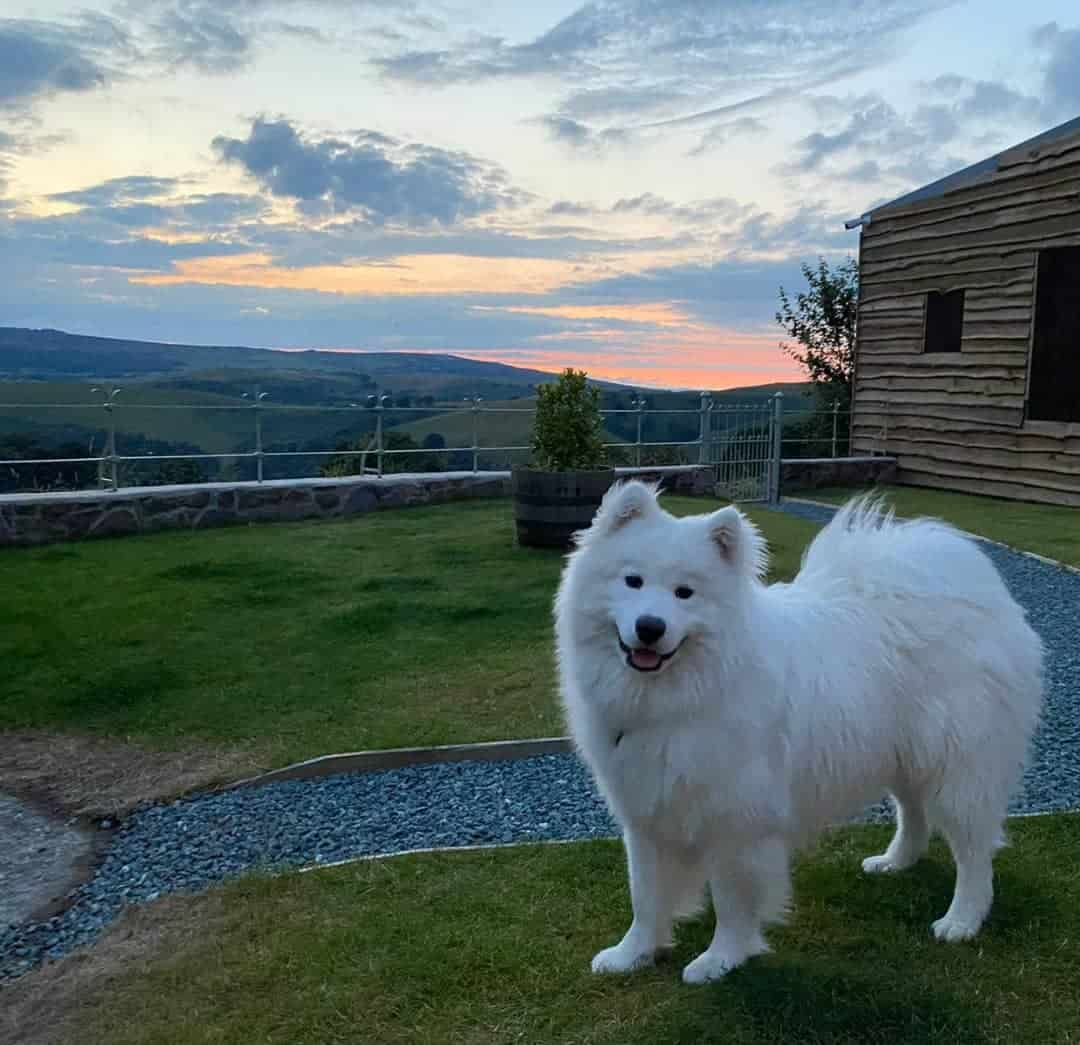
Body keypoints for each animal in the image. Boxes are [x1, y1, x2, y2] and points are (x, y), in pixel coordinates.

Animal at [552, 485, 1041, 984]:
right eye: (632, 581)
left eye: (684, 593)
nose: (650, 628)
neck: (682, 695)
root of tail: (976, 586)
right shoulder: (647, 812)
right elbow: (646, 896)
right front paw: (632, 954)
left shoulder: (738, 822)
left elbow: (731, 901)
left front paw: (721, 959)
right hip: (903, 754)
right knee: (913, 813)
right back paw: (896, 861)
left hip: (957, 769)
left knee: (974, 851)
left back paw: (962, 920)